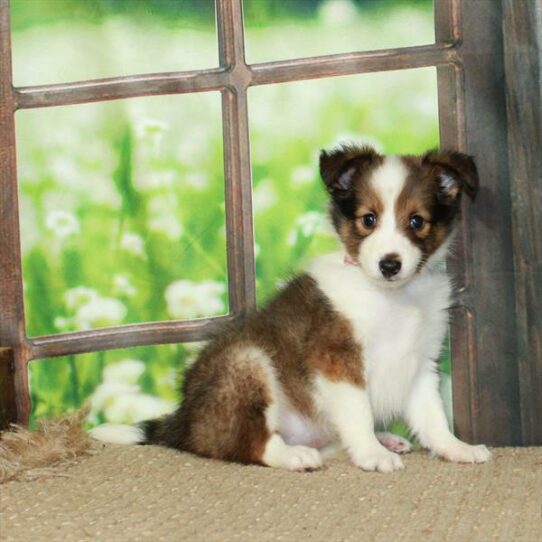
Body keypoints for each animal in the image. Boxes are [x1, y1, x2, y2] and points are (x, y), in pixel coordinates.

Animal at [92, 144, 492, 472]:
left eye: (416, 221)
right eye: (369, 219)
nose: (390, 264)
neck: (392, 297)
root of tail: (184, 420)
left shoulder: (420, 362)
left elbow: (433, 416)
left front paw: (456, 448)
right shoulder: (336, 360)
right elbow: (359, 412)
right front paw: (371, 454)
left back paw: (385, 439)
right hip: (245, 363)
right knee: (246, 443)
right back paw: (296, 456)